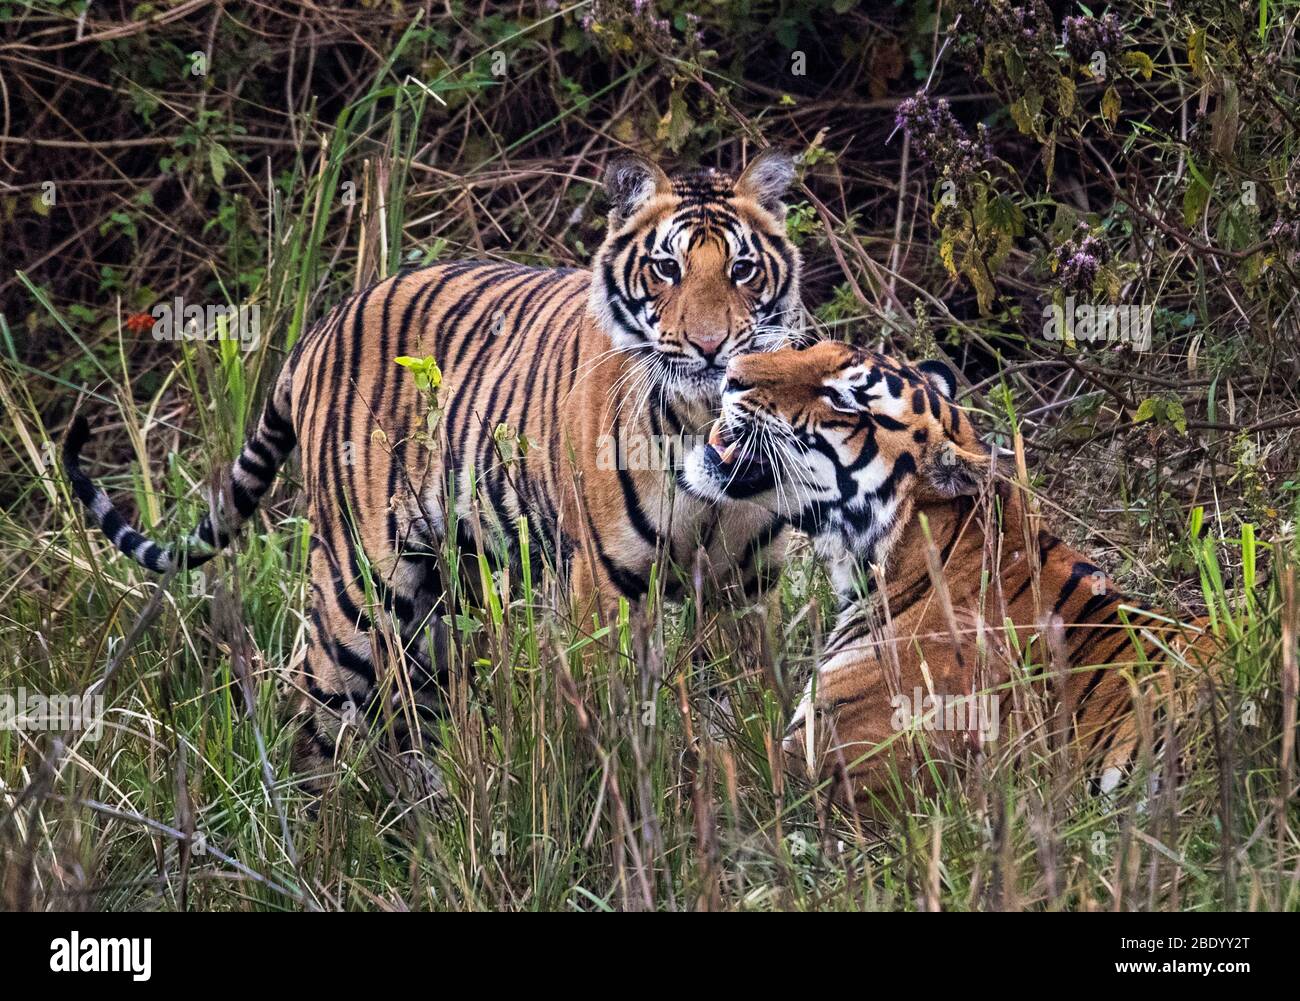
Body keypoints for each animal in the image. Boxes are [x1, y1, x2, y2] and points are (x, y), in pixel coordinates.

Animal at [71, 150, 806, 780]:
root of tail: (324, 325)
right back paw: (322, 833)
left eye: (742, 270)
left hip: (448, 591)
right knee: (314, 704)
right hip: (360, 583)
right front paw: (623, 797)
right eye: (666, 269)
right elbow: (614, 713)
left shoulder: (749, 588)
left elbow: (749, 710)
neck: (705, 423)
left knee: (410, 710)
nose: (710, 346)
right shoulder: (607, 585)